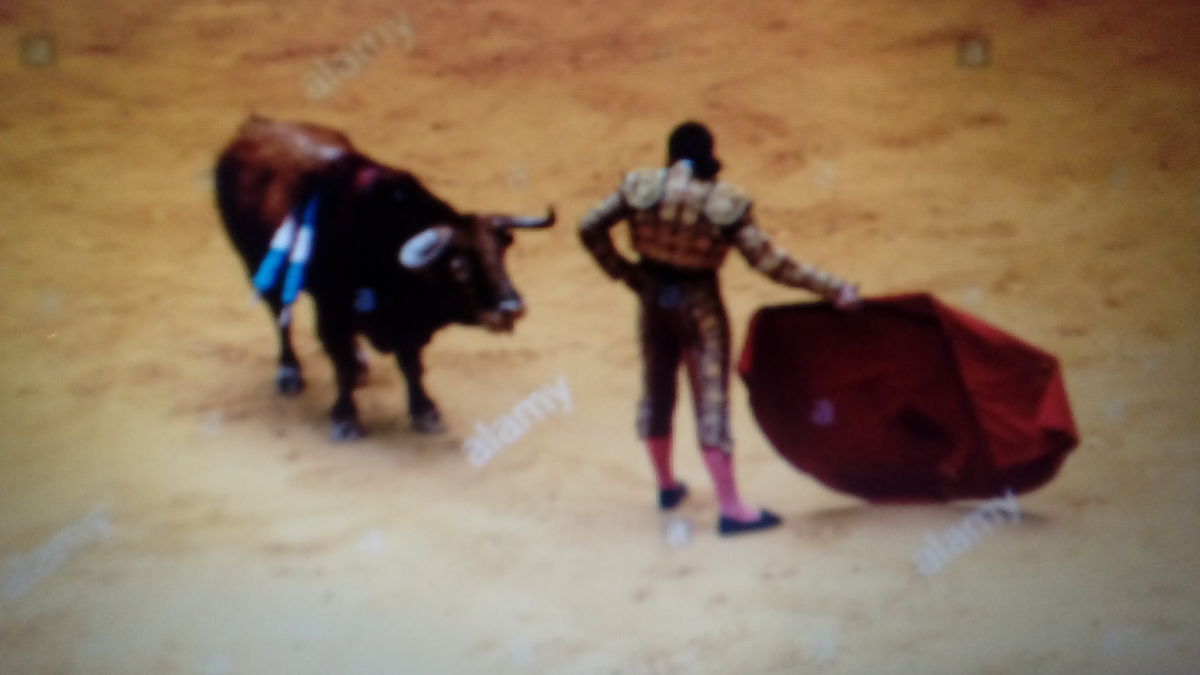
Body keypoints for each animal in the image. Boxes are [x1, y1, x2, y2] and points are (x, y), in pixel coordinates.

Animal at [216, 117, 552, 439]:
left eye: (501, 254)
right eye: (459, 266)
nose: (512, 307)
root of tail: (253, 128)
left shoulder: (405, 325)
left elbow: (411, 365)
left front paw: (425, 412)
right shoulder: (331, 313)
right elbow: (342, 366)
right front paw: (346, 420)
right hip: (255, 265)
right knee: (279, 318)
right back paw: (289, 373)